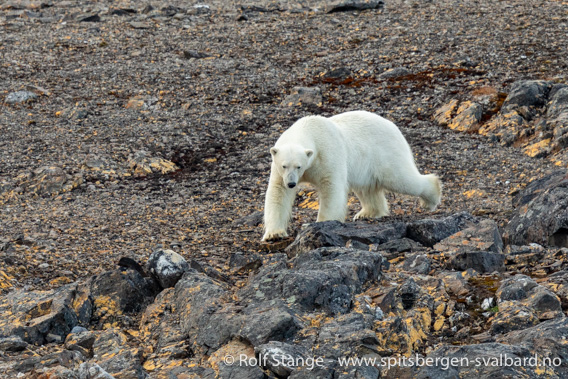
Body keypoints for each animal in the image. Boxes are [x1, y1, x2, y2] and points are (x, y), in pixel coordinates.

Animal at [260, 110, 442, 242]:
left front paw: (320, 223)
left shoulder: (327, 154)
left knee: (401, 179)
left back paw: (431, 198)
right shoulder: (278, 172)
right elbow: (278, 193)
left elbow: (331, 187)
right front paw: (274, 234)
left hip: (385, 152)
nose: (292, 183)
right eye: (284, 165)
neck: (309, 130)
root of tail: (393, 126)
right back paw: (367, 213)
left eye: (299, 166)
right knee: (367, 188)